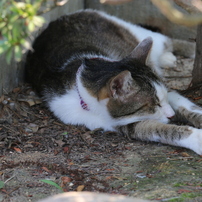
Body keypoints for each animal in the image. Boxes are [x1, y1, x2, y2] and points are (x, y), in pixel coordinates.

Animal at [25, 9, 202, 155]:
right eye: (153, 105)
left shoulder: (167, 90)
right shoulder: (122, 124)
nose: (171, 115)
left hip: (134, 31)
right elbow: (163, 130)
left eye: (159, 101)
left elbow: (187, 106)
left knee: (167, 41)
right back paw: (167, 58)